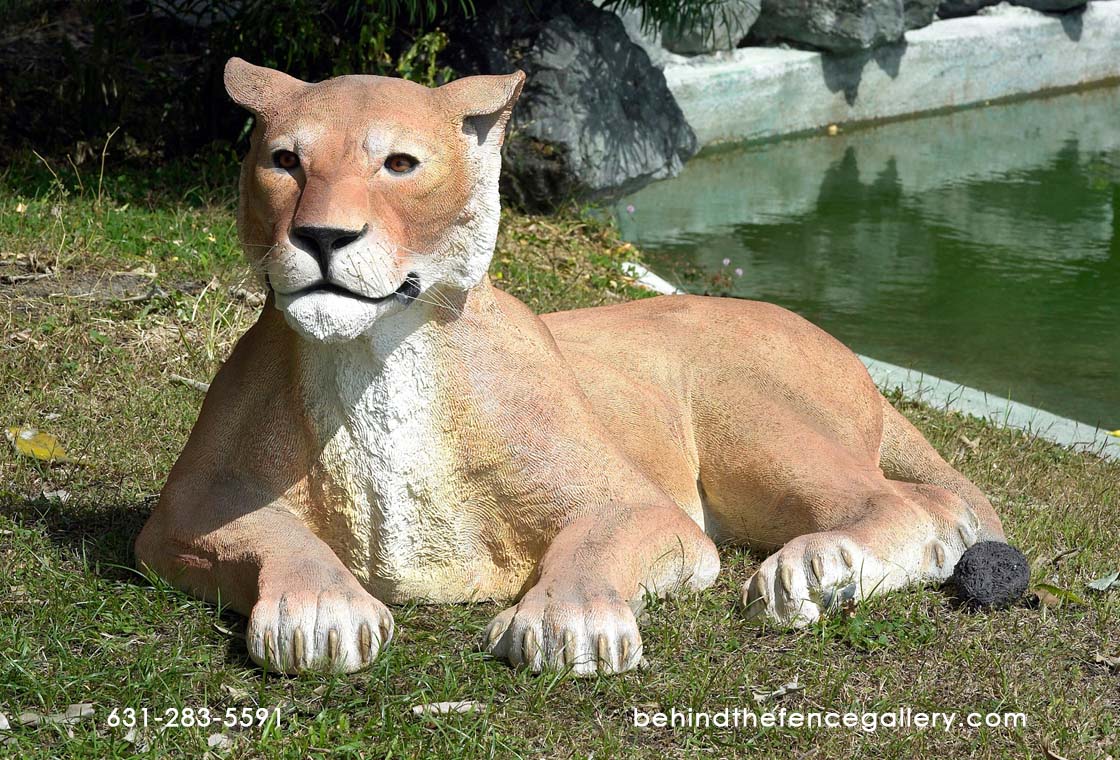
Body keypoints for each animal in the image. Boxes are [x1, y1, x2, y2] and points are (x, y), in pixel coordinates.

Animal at [135, 58, 1007, 675]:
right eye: (285, 161)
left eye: (400, 165)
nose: (321, 236)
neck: (374, 359)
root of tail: (838, 343)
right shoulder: (184, 512)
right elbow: (275, 537)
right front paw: (322, 610)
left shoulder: (644, 508)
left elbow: (593, 544)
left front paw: (571, 622)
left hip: (751, 425)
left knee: (918, 505)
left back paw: (817, 569)